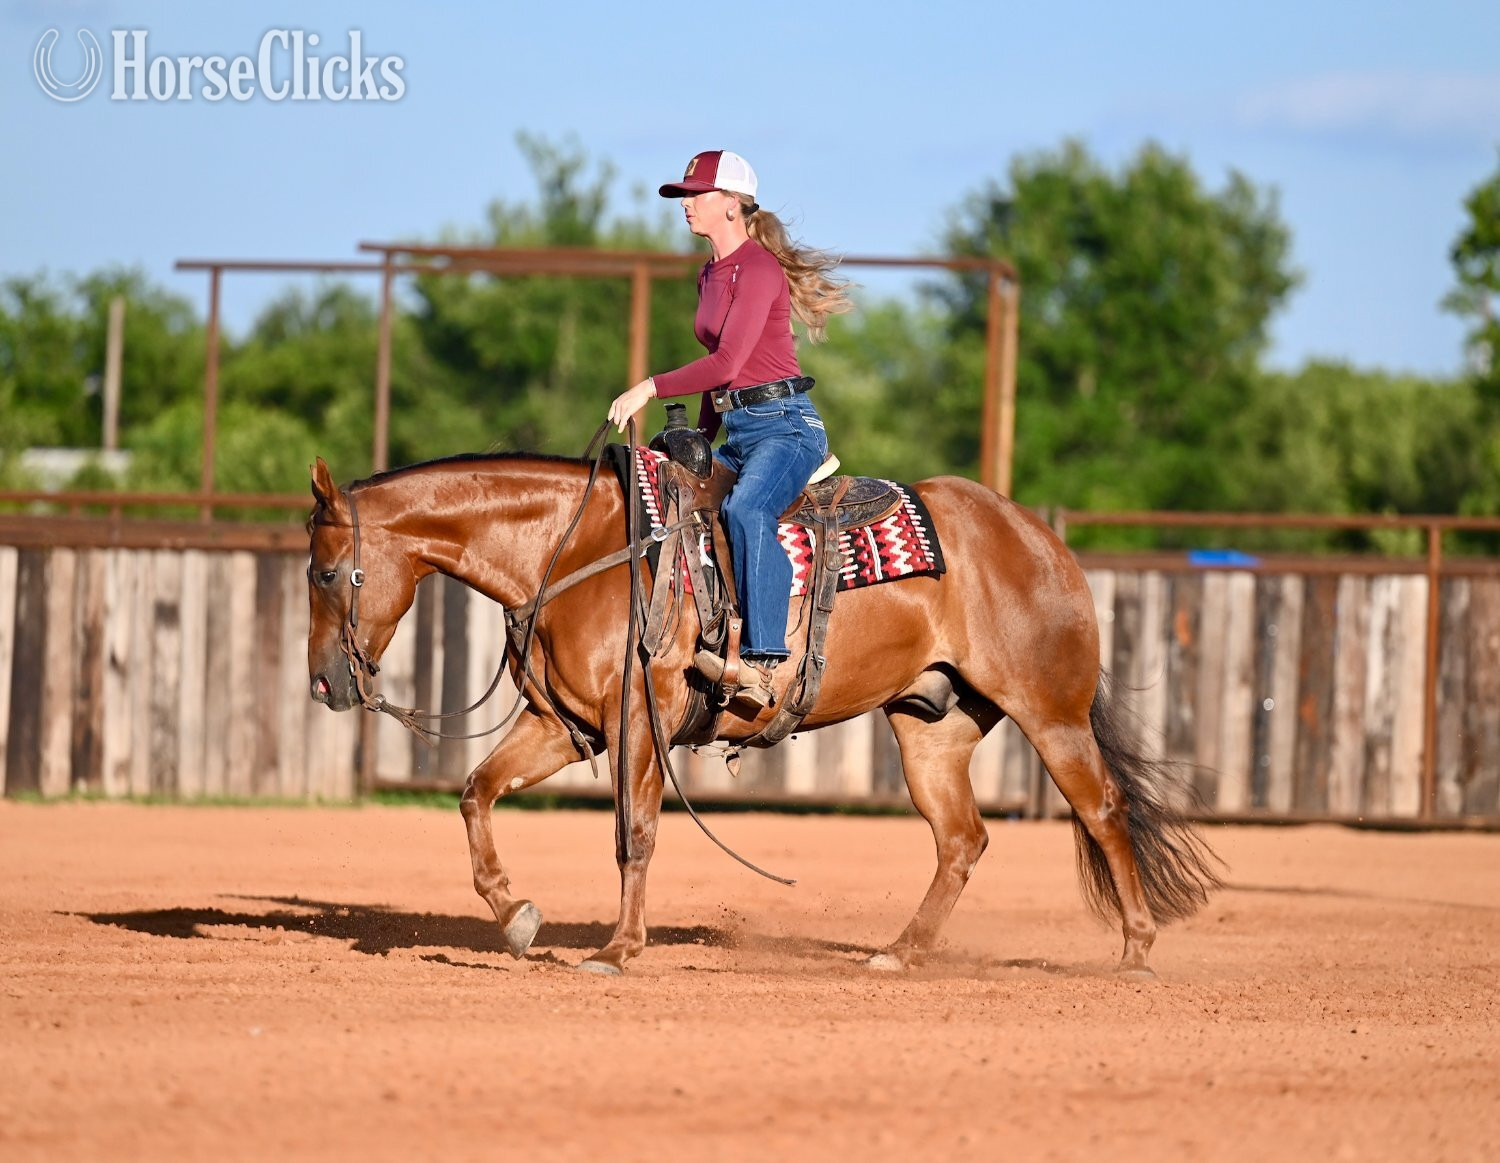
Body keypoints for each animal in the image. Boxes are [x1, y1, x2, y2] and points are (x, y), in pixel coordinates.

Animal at [305, 451, 1221, 978]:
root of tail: (1039, 536)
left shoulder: (639, 719)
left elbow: (635, 831)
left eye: (321, 571)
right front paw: (517, 915)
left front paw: (617, 949)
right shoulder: (563, 725)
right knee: (962, 839)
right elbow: (475, 791)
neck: (580, 548)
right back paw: (900, 952)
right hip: (931, 727)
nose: (323, 683)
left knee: (1103, 810)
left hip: (1051, 712)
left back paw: (1136, 952)